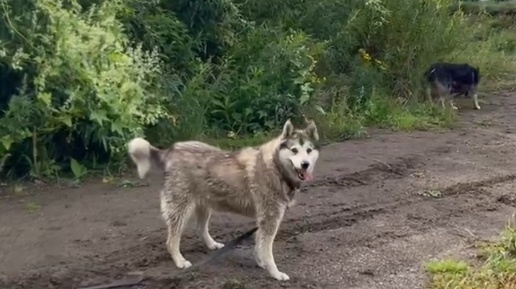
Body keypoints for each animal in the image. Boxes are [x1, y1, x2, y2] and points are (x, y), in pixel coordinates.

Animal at [126, 118, 318, 280]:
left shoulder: (264, 220)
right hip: (180, 209)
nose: (305, 164)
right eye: (294, 150)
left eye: (308, 150)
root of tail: (171, 150)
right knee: (171, 240)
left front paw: (261, 263)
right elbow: (267, 251)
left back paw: (211, 245)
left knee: (201, 228)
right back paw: (179, 261)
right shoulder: (270, 219)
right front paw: (275, 273)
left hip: (204, 205)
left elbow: (259, 246)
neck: (276, 167)